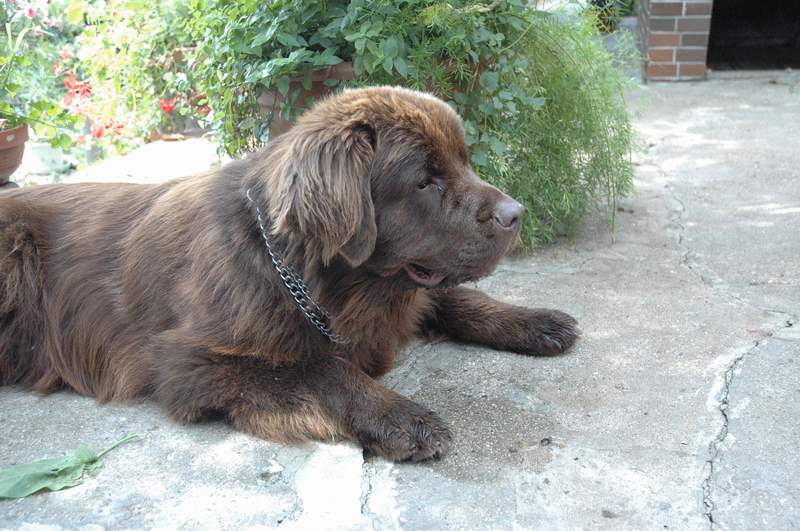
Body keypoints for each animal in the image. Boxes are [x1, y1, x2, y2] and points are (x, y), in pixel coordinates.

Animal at [0, 86, 578, 462]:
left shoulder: (406, 289)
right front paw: (401, 417)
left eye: (464, 162)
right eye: (425, 181)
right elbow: (321, 368)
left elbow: (456, 300)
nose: (516, 214)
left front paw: (537, 321)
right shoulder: (189, 362)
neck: (309, 276)